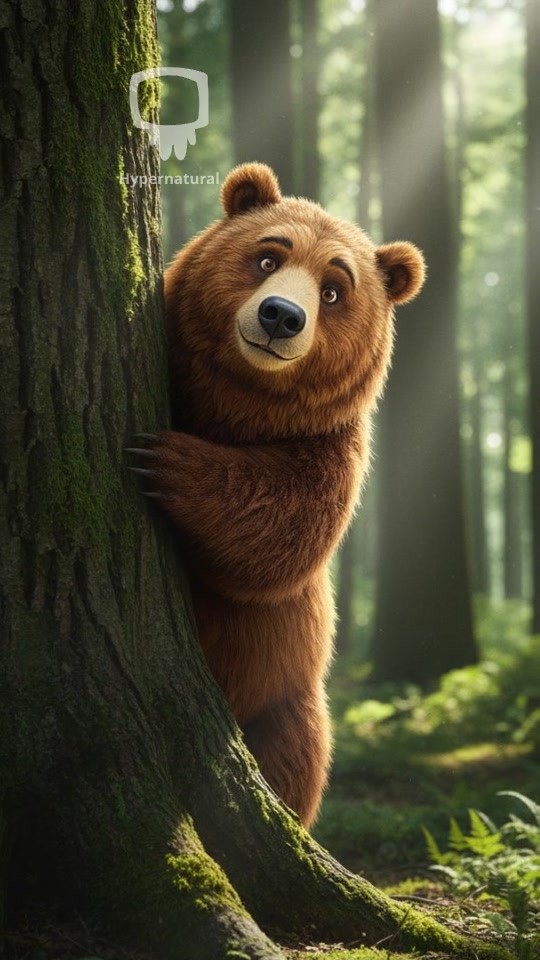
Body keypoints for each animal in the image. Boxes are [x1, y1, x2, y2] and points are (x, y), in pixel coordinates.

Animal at [129, 163, 425, 827]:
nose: (281, 316)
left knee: (293, 763)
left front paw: (165, 460)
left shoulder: (329, 447)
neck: (238, 408)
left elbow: (283, 536)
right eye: (268, 257)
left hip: (283, 703)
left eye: (333, 290)